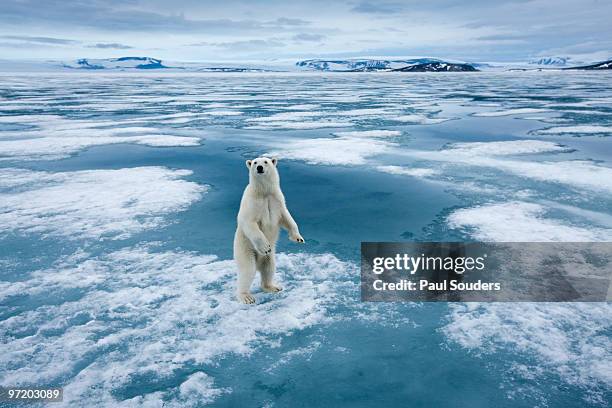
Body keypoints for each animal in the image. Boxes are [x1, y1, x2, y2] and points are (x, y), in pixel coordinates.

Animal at [233, 156, 304, 302]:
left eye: (265, 161)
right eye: (255, 162)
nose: (259, 167)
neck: (264, 193)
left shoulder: (277, 199)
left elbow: (287, 217)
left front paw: (298, 238)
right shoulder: (252, 203)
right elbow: (249, 223)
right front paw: (265, 247)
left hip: (269, 258)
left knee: (269, 268)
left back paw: (272, 287)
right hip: (244, 249)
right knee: (248, 270)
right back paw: (246, 296)